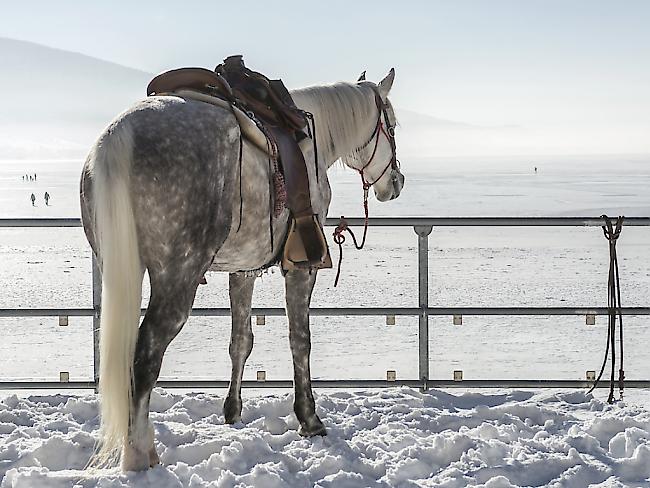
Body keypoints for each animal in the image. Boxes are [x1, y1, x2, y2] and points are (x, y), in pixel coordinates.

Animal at [78, 67, 402, 468]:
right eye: (392, 126)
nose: (396, 182)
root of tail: (119, 135)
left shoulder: (243, 269)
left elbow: (240, 341)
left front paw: (232, 411)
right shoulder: (301, 266)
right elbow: (300, 340)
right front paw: (309, 418)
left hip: (120, 269)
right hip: (177, 277)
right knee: (145, 356)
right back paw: (139, 454)